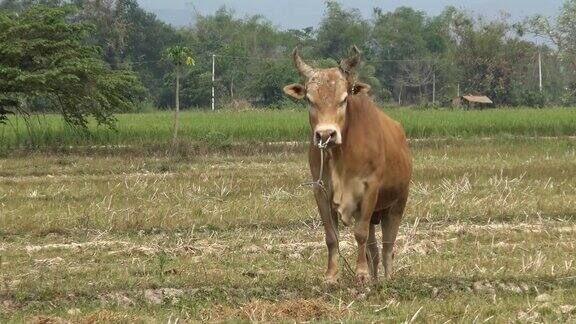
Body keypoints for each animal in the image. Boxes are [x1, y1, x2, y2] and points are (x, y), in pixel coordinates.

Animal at [282, 46, 410, 284]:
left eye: (343, 99)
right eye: (309, 100)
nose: (326, 134)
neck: (340, 157)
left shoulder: (369, 191)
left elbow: (359, 234)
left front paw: (360, 274)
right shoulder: (320, 191)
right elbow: (332, 237)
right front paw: (331, 275)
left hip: (397, 204)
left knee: (388, 247)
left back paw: (387, 277)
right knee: (373, 249)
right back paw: (375, 278)